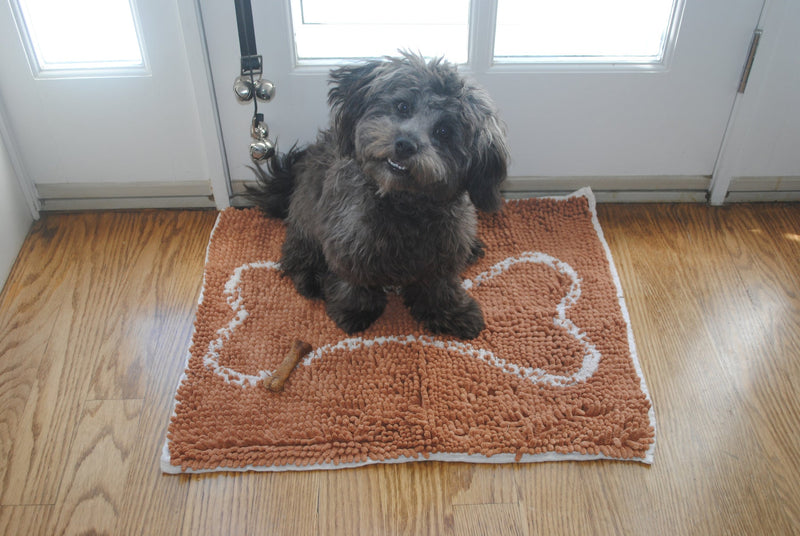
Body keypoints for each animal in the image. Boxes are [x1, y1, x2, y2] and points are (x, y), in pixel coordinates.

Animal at [250, 52, 510, 338]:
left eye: (444, 131)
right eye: (403, 106)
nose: (405, 145)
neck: (403, 205)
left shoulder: (444, 250)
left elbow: (438, 286)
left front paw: (451, 312)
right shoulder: (347, 243)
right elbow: (354, 281)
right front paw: (355, 310)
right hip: (306, 219)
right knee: (295, 255)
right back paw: (311, 277)